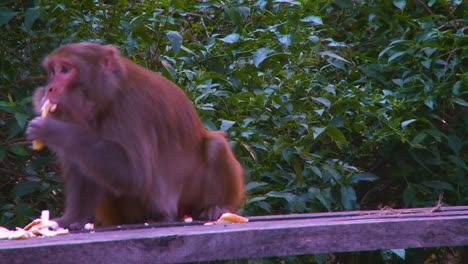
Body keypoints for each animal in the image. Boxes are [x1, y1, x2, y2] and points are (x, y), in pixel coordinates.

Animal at [27, 42, 243, 228]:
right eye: (52, 72)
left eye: (65, 70)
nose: (49, 88)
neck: (107, 97)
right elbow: (82, 170)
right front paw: (71, 219)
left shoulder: (132, 108)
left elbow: (135, 173)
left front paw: (51, 129)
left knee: (215, 145)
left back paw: (213, 208)